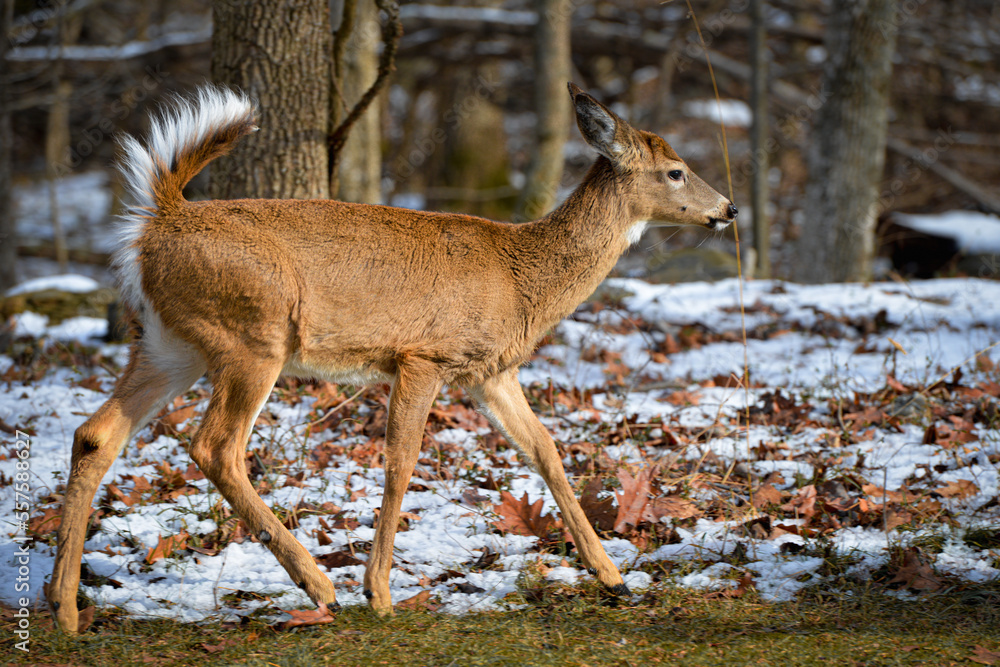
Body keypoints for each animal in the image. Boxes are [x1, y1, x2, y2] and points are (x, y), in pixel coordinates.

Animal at [47, 82, 736, 632]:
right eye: (675, 170)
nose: (728, 208)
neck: (521, 277)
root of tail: (157, 220)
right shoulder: (425, 356)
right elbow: (401, 463)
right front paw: (378, 593)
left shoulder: (490, 371)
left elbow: (545, 450)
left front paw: (613, 576)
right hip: (254, 335)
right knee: (214, 445)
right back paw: (319, 585)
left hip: (169, 343)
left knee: (96, 433)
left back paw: (64, 609)